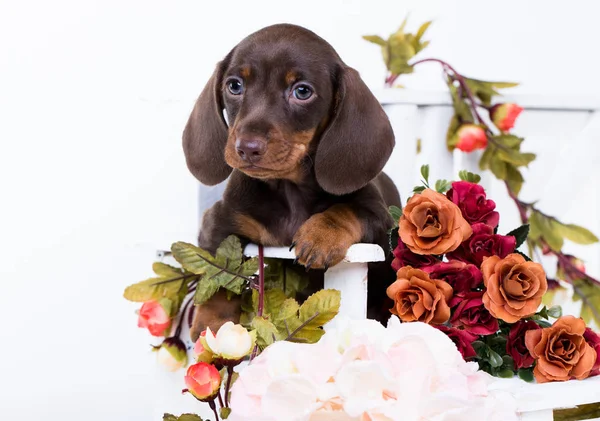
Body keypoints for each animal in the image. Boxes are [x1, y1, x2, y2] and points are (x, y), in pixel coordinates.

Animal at [183, 25, 398, 334]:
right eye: (234, 85)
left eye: (302, 91)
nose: (247, 148)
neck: (289, 189)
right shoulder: (219, 219)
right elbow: (221, 267)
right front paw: (212, 321)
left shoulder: (380, 221)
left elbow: (346, 209)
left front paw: (320, 234)